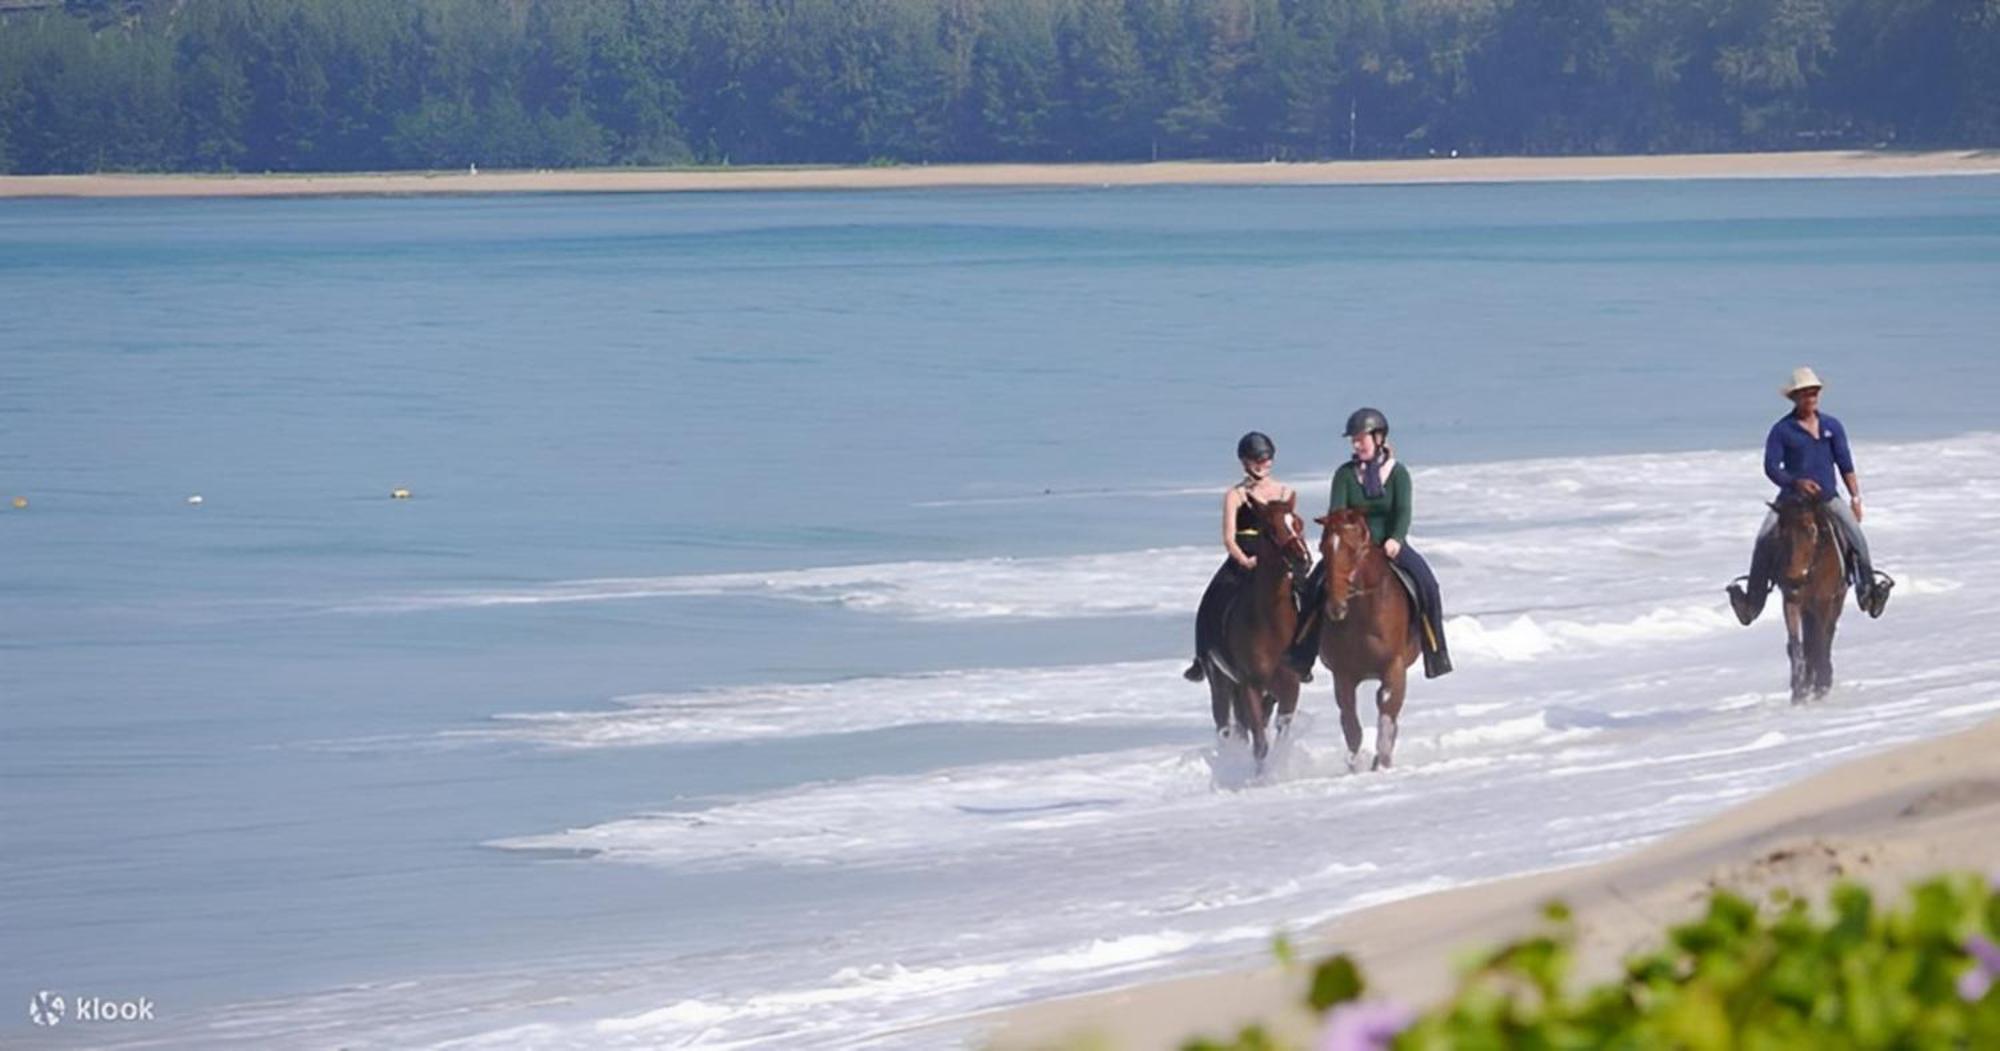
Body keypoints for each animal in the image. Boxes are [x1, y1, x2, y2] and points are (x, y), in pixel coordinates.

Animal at [1200, 495, 1312, 767]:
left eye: (1299, 523)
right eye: (1271, 529)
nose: (1302, 560)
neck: (1272, 626)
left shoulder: (1289, 686)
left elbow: (1280, 732)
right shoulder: (1250, 684)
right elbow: (1260, 743)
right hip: (1220, 681)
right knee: (1225, 724)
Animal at [1312, 511, 1424, 775]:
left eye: (1353, 550)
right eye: (1322, 548)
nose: (1335, 607)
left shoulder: (1394, 667)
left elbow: (1386, 713)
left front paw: (1381, 764)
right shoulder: (1342, 674)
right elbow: (1351, 724)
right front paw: (1356, 766)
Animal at [1768, 497, 1840, 707]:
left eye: (1811, 530)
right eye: (1782, 532)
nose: (1794, 578)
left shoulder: (1824, 602)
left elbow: (1820, 642)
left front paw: (1821, 685)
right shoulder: (1791, 602)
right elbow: (1796, 645)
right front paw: (1798, 691)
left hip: (1836, 602)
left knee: (1827, 635)